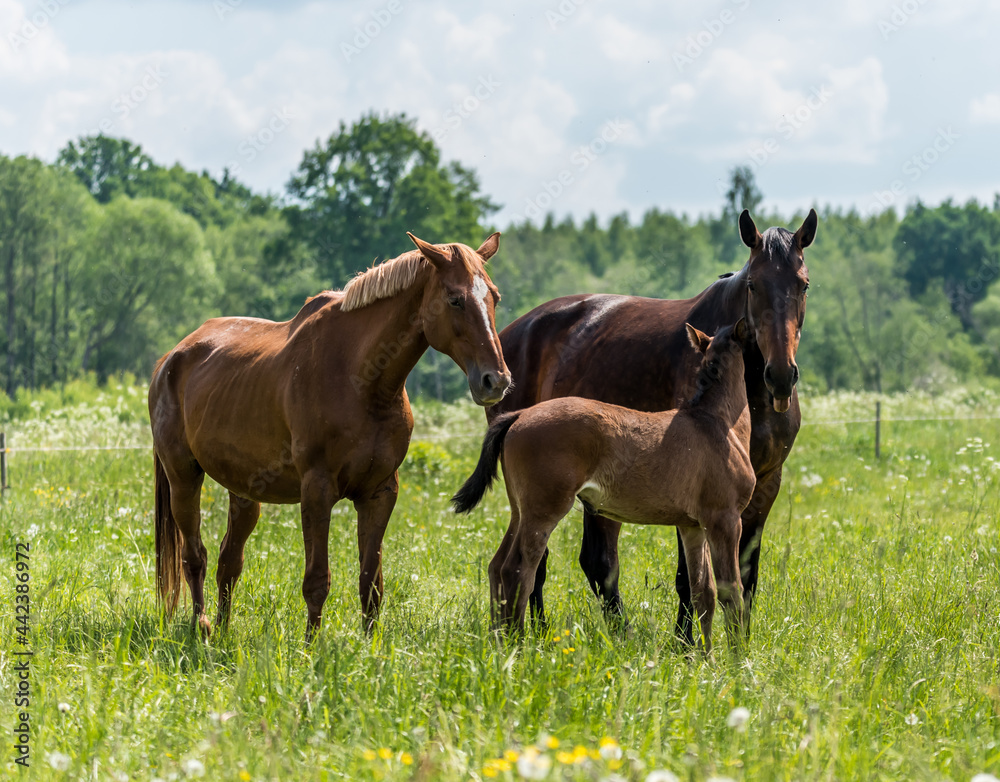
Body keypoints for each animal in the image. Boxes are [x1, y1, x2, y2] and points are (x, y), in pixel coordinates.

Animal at [149, 232, 512, 639]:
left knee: (229, 561)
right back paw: (203, 626)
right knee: (193, 556)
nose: (496, 380)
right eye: (454, 299)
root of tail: (171, 358)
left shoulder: (379, 492)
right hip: (183, 479)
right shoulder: (317, 490)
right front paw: (311, 647)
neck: (362, 380)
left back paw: (225, 632)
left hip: (243, 491)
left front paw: (371, 648)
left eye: (494, 296)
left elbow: (371, 583)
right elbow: (316, 580)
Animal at [455, 321, 755, 652]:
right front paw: (738, 657)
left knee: (497, 567)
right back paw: (518, 644)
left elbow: (703, 592)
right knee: (518, 569)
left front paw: (705, 657)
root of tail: (519, 414)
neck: (715, 423)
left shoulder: (692, 527)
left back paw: (499, 640)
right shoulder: (724, 520)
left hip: (520, 511)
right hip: (544, 511)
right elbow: (731, 591)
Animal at [488, 209, 816, 644]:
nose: (780, 376)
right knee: (554, 565)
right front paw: (686, 643)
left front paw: (739, 639)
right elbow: (690, 579)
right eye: (753, 284)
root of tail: (513, 332)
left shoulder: (766, 483)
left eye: (803, 283)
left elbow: (747, 576)